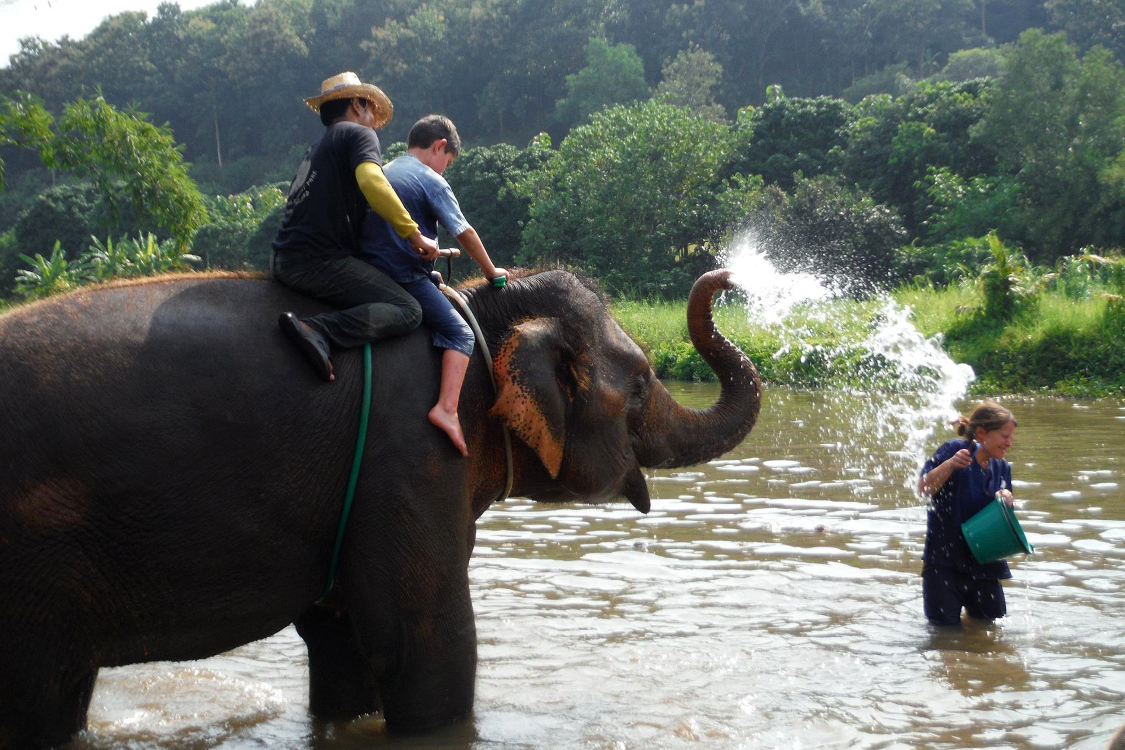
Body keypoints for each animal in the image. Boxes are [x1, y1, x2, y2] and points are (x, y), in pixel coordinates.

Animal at [0, 267, 761, 748]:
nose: (727, 277)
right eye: (639, 384)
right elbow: (424, 641)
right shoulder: (411, 448)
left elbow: (343, 644)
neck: (472, 315)